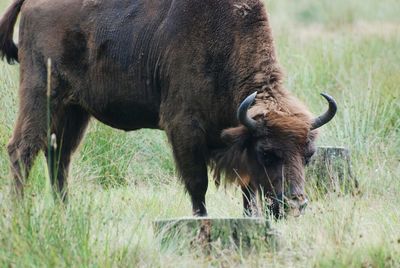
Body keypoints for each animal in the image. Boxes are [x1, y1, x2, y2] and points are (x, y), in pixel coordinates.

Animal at [0, 0, 338, 218]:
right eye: (267, 152)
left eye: (309, 155)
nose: (295, 205)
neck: (224, 44)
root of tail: (32, 3)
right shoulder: (185, 129)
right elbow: (198, 184)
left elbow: (248, 191)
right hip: (41, 95)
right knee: (23, 149)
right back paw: (19, 214)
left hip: (75, 110)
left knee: (59, 156)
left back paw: (64, 212)